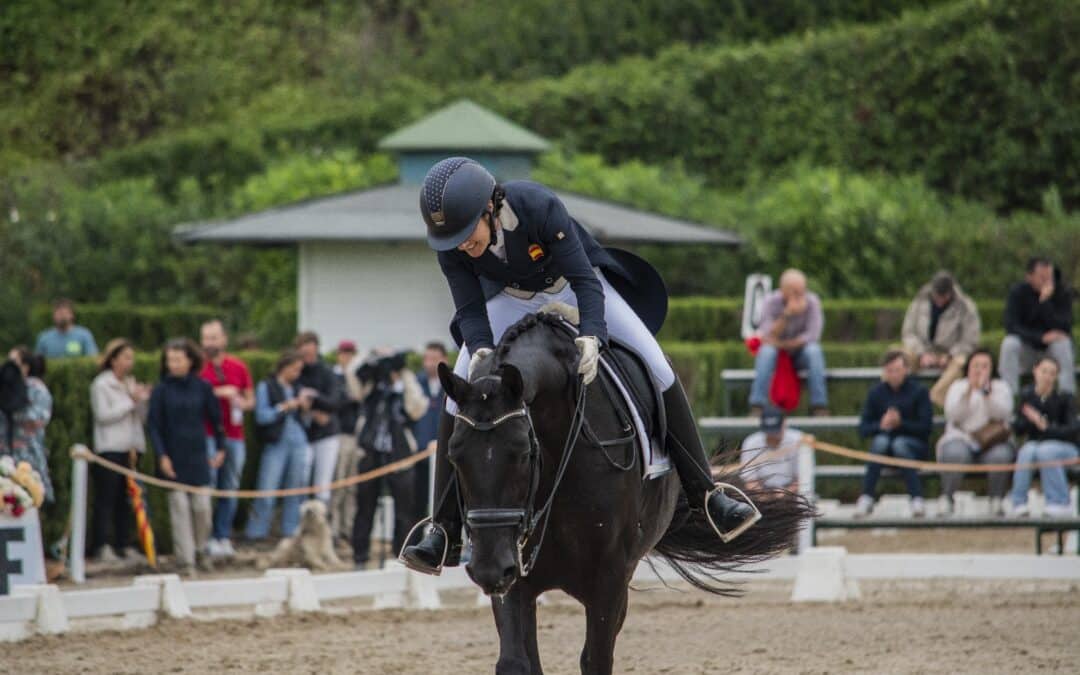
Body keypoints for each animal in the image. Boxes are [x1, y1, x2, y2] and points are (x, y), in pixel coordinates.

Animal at [436, 311, 812, 673]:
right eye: (453, 455)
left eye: (523, 452)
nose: (487, 570)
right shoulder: (515, 577)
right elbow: (516, 662)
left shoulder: (609, 578)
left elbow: (596, 660)